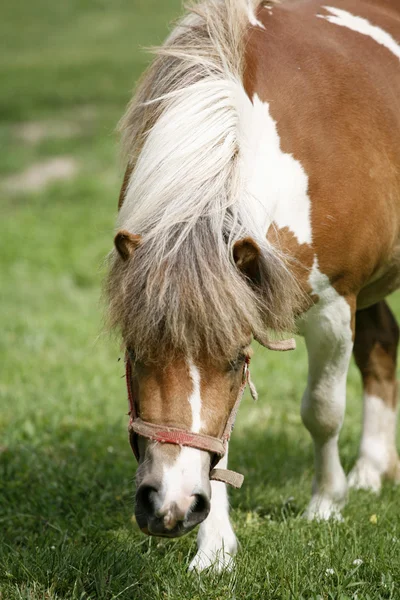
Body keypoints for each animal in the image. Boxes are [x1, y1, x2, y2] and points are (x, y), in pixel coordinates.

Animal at [105, 0, 400, 572]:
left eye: (231, 362)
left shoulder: (335, 308)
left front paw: (326, 504)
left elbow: (322, 412)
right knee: (382, 348)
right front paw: (216, 547)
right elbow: (221, 436)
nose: (170, 507)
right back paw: (371, 470)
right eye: (136, 353)